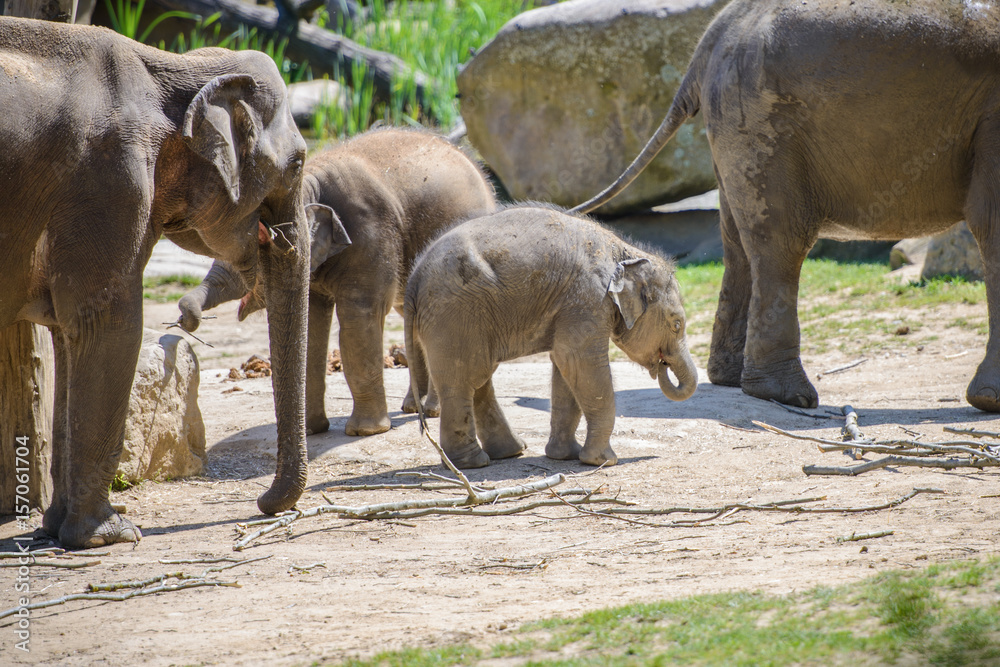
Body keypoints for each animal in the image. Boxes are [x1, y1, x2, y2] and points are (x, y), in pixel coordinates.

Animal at [1, 18, 316, 547]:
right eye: (297, 164)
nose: (264, 504)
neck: (171, 66)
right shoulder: (110, 182)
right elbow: (112, 326)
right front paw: (109, 535)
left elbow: (68, 335)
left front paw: (56, 530)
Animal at [176, 128, 497, 436]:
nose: (183, 318)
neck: (307, 185)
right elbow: (310, 326)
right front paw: (311, 430)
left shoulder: (370, 237)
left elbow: (358, 320)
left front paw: (366, 431)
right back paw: (411, 408)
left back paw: (431, 411)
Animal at [404, 205, 698, 469]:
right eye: (676, 324)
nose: (661, 364)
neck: (623, 251)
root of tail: (413, 280)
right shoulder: (587, 298)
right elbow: (579, 362)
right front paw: (603, 461)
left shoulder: (572, 306)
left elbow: (565, 369)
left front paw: (565, 456)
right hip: (454, 314)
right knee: (465, 378)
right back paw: (471, 464)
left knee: (478, 379)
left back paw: (509, 453)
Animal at [573, 0, 1000, 412]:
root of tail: (711, 39)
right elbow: (991, 222)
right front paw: (990, 401)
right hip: (761, 121)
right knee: (780, 243)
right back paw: (786, 395)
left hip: (735, 122)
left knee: (738, 244)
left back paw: (733, 379)